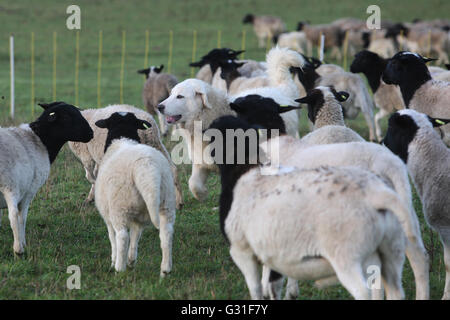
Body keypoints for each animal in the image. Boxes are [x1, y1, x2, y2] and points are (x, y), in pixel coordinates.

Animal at [0, 102, 93, 255]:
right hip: (11, 186)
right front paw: (23, 243)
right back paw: (18, 249)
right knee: (13, 216)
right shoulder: (29, 190)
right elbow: (21, 218)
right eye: (67, 116)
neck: (40, 140)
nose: (91, 133)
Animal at [94, 111, 175, 274]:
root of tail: (146, 166)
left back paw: (119, 268)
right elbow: (136, 236)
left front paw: (114, 260)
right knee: (166, 233)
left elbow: (112, 237)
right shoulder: (139, 217)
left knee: (122, 236)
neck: (122, 137)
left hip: (120, 206)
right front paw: (131, 260)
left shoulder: (107, 213)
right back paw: (165, 269)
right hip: (166, 202)